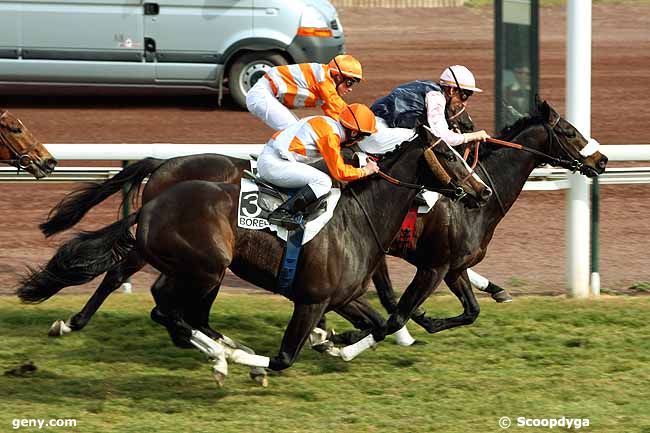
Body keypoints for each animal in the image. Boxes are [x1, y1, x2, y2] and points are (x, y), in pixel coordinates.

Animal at [340, 97, 608, 358]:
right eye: (570, 132)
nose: (602, 160)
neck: (475, 205)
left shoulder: (455, 268)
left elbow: (472, 311)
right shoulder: (433, 267)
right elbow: (398, 314)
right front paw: (348, 341)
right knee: (384, 297)